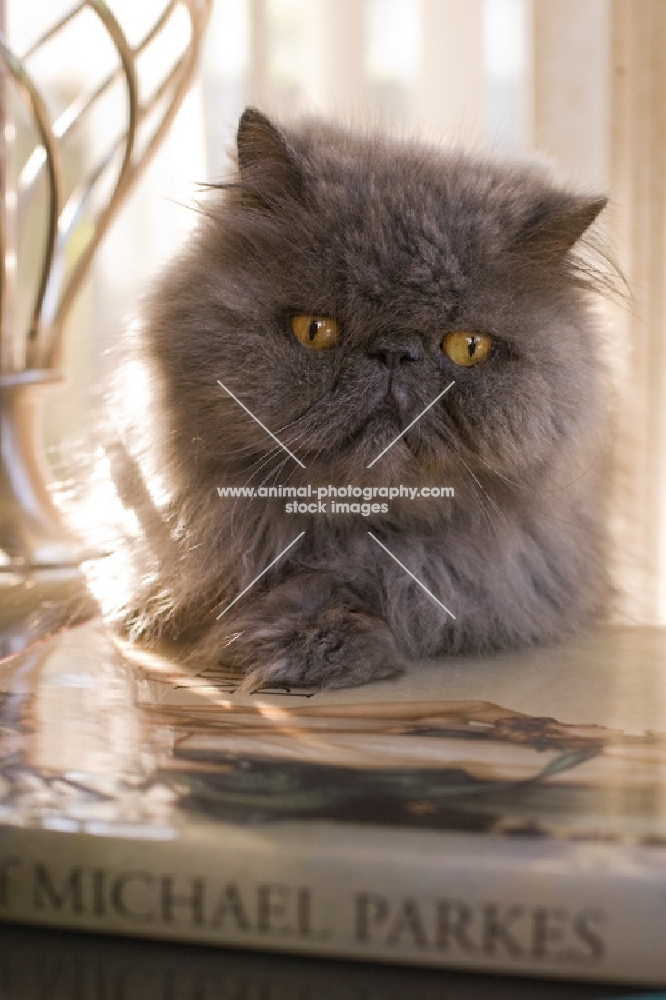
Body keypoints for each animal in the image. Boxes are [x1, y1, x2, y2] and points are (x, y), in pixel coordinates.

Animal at [105, 107, 612, 688]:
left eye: (468, 346)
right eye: (316, 329)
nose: (393, 353)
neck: (358, 539)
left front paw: (303, 645)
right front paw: (294, 641)